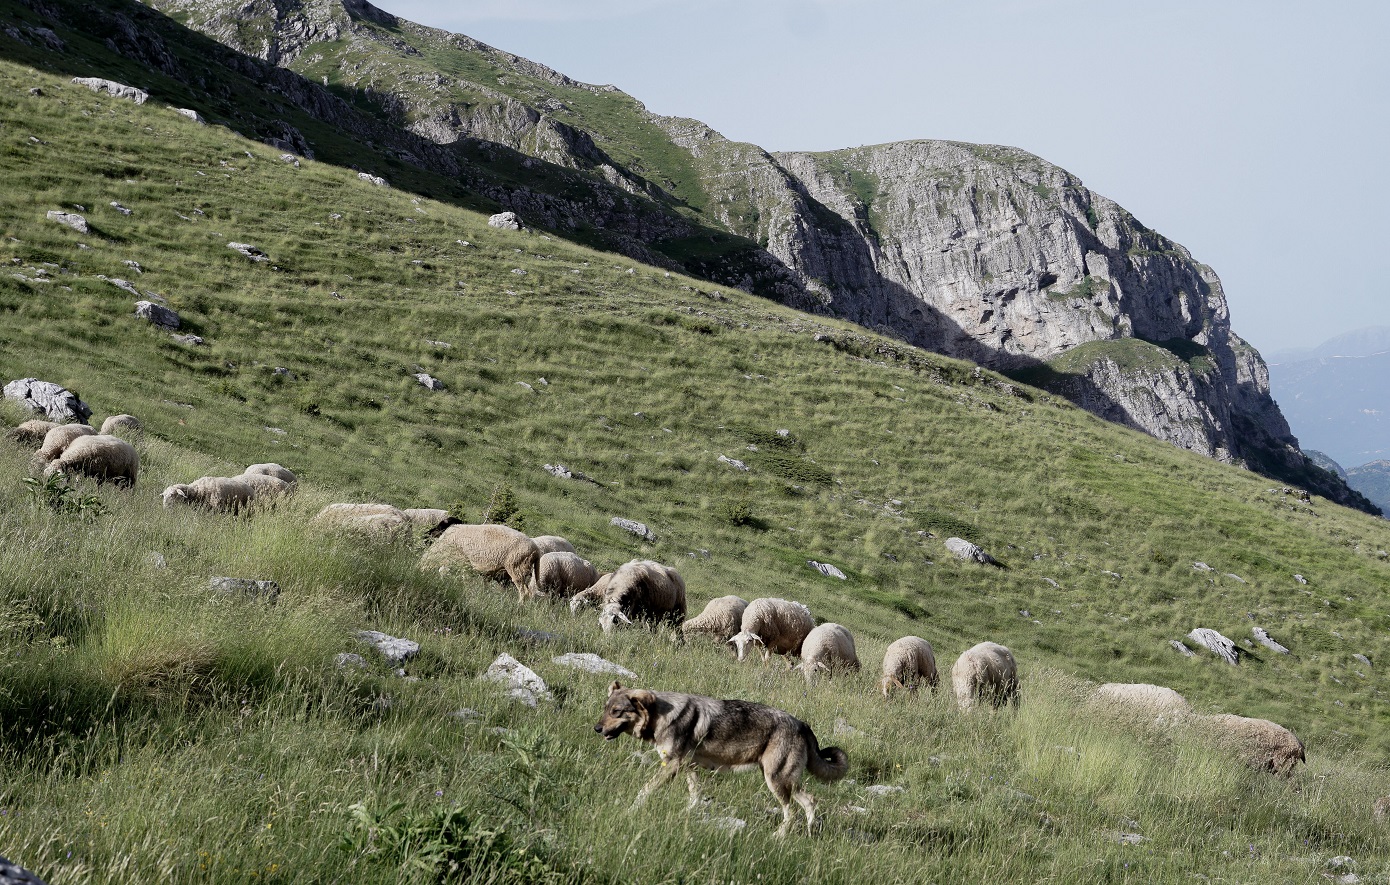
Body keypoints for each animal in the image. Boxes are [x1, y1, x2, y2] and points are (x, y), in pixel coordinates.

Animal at [589, 675, 845, 833]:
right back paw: (809, 833)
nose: (597, 729)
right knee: (810, 802)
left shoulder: (672, 765)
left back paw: (778, 838)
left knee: (790, 814)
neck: (661, 717)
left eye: (617, 711)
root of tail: (802, 724)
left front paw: (631, 810)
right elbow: (695, 796)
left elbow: (645, 790)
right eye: (605, 709)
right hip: (785, 781)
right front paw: (687, 815)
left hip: (776, 781)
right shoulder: (688, 767)